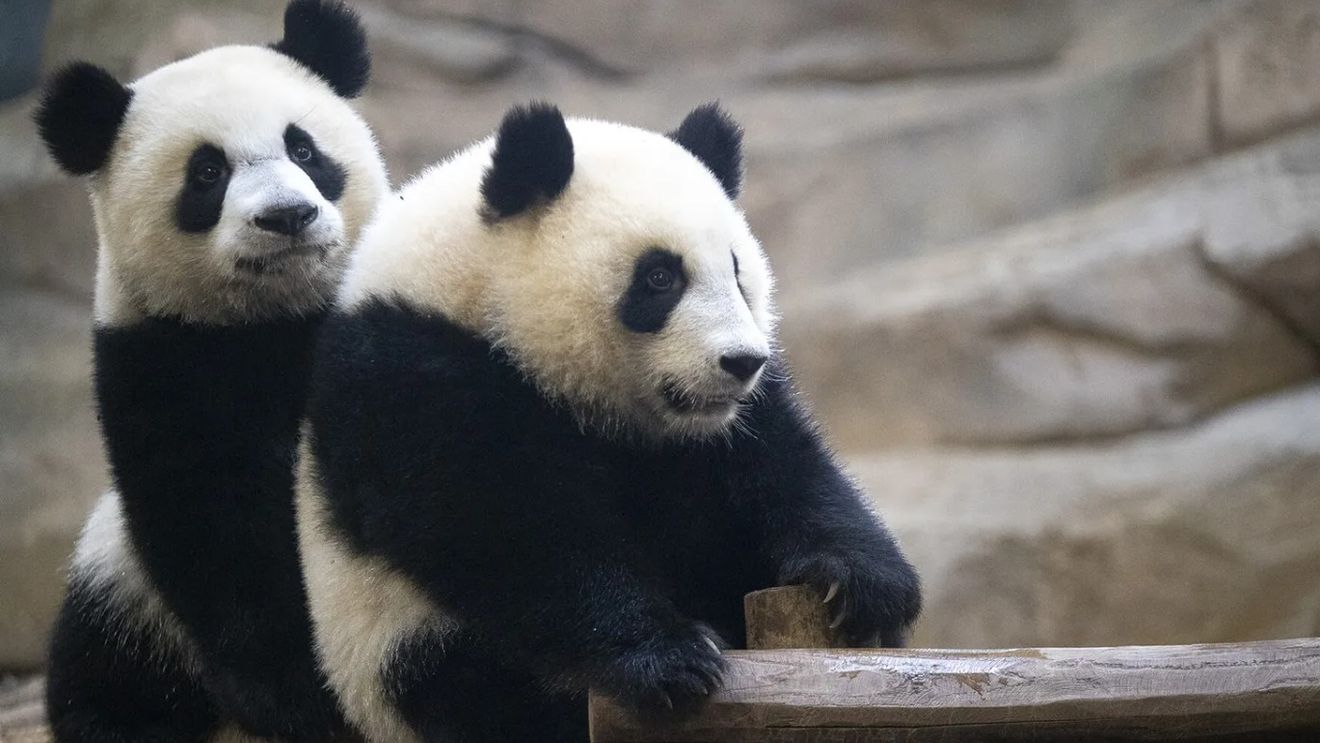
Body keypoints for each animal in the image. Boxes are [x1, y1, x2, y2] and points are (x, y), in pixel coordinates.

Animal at [34, 1, 389, 740]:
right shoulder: (160, 363)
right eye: (206, 173)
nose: (288, 216)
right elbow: (216, 533)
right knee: (103, 657)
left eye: (304, 149)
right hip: (122, 587)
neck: (275, 319)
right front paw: (300, 699)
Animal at [296, 102, 921, 742]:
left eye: (737, 272)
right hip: (408, 656)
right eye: (660, 277)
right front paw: (669, 658)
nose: (741, 361)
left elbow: (781, 464)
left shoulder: (719, 428)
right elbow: (509, 527)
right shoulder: (411, 376)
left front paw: (860, 583)